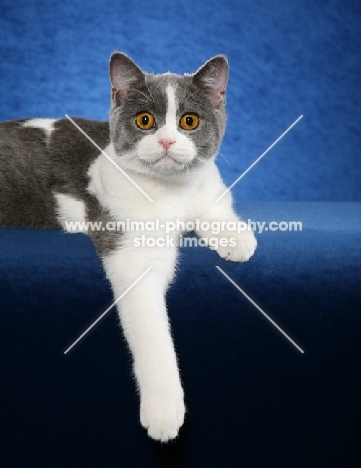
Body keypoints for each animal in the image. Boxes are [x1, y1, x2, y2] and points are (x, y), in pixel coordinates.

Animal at [0, 52, 256, 442]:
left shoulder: (207, 189)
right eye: (145, 120)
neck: (171, 195)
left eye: (189, 121)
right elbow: (151, 330)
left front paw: (237, 238)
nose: (166, 142)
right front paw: (164, 409)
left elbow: (215, 204)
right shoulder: (129, 247)